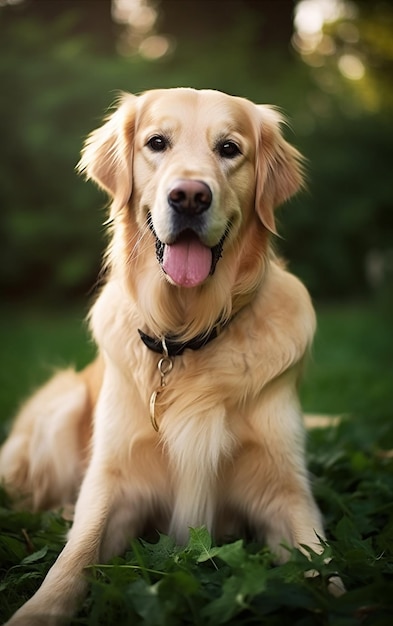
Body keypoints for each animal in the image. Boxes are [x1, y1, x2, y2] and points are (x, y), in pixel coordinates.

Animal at [0, 89, 340, 624]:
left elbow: (324, 569)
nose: (190, 196)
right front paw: (37, 610)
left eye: (229, 148)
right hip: (63, 405)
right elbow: (74, 555)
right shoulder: (116, 480)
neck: (186, 336)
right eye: (157, 142)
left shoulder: (283, 489)